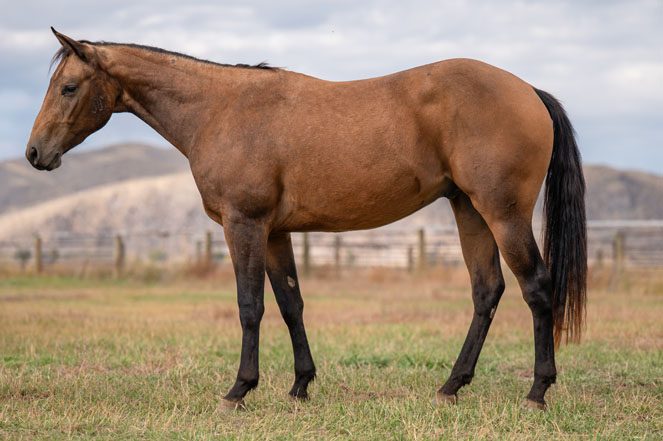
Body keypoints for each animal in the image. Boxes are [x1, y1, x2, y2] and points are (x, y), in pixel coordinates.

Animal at [27, 28, 586, 411]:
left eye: (69, 87)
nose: (35, 153)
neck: (221, 109)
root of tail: (529, 91)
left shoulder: (244, 225)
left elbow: (250, 306)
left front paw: (239, 389)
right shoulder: (275, 233)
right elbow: (291, 304)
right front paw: (300, 385)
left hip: (502, 214)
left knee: (536, 288)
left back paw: (537, 391)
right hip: (469, 209)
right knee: (487, 290)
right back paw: (451, 386)